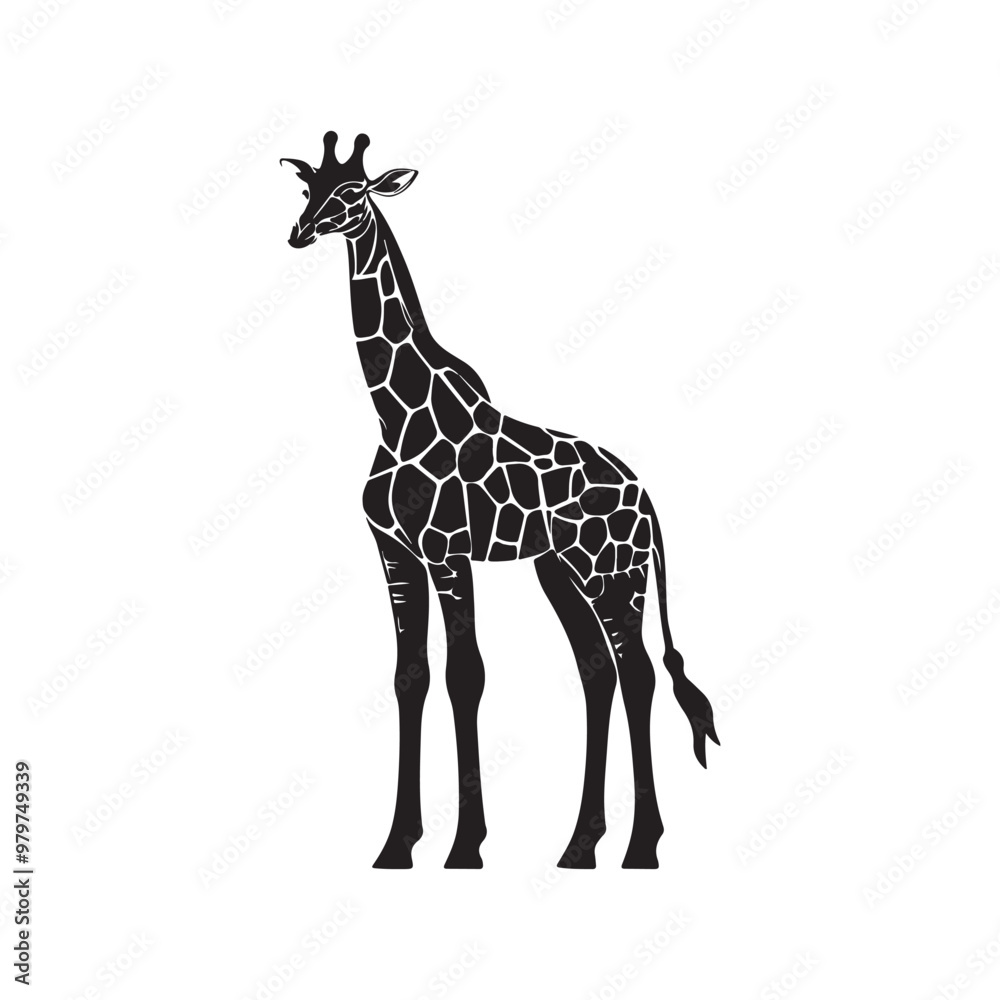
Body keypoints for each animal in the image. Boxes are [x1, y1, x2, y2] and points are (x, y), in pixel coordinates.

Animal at [281, 131, 719, 869]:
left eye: (353, 191)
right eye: (307, 189)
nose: (299, 232)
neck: (393, 415)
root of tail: (647, 498)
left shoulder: (447, 551)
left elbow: (466, 675)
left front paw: (465, 846)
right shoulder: (396, 553)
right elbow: (409, 677)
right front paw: (397, 844)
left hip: (616, 573)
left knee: (637, 675)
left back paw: (641, 847)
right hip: (561, 570)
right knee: (597, 674)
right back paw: (579, 845)